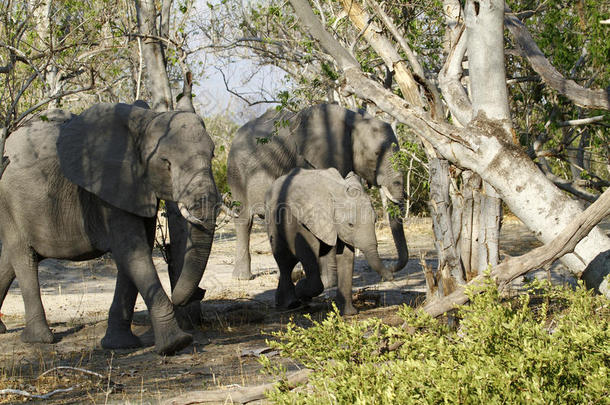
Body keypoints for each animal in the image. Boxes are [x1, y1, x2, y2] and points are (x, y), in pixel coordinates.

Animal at [0, 102, 218, 354]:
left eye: (213, 154)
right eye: (166, 163)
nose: (200, 292)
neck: (145, 122)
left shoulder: (138, 187)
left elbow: (134, 254)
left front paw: (120, 345)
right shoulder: (109, 188)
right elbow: (133, 252)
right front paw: (176, 344)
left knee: (9, 262)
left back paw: (4, 329)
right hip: (9, 201)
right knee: (23, 258)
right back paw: (40, 340)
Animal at [226, 103, 406, 280]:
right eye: (376, 154)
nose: (392, 268)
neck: (352, 119)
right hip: (236, 173)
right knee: (244, 220)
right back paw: (243, 277)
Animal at [264, 167, 392, 316]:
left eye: (375, 219)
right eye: (350, 225)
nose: (392, 276)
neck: (336, 191)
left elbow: (346, 257)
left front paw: (349, 313)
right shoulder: (300, 220)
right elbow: (308, 252)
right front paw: (301, 289)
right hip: (273, 222)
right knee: (284, 261)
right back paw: (291, 304)